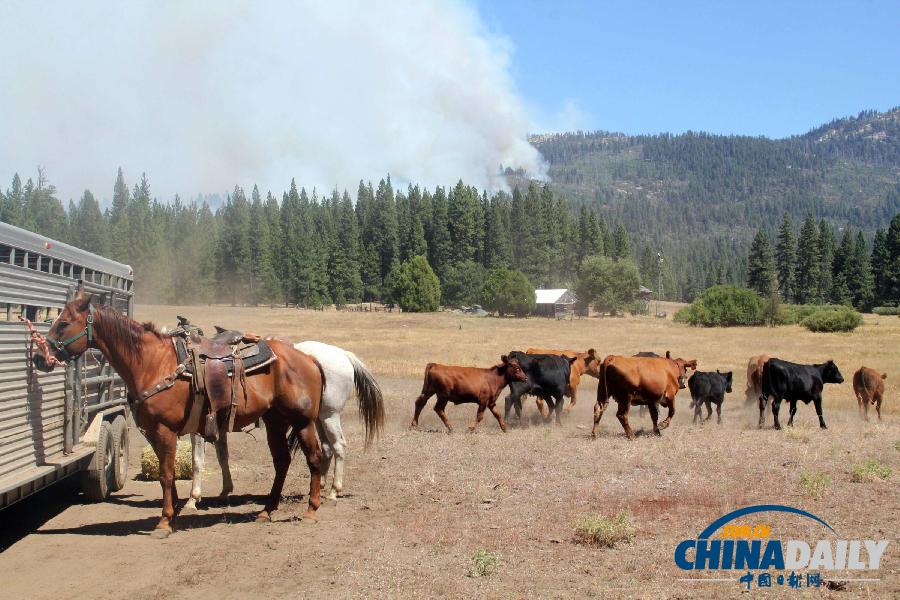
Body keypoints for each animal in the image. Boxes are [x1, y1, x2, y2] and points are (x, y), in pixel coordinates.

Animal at [33, 288, 326, 536]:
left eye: (63, 323)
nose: (39, 357)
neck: (151, 362)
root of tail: (308, 358)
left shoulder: (165, 431)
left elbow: (166, 474)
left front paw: (164, 522)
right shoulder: (154, 433)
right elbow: (169, 474)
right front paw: (172, 513)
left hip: (303, 422)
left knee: (314, 458)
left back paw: (311, 510)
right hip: (276, 421)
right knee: (282, 462)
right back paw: (266, 511)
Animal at [185, 340, 384, 508]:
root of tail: (343, 354)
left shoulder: (198, 429)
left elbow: (197, 461)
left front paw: (193, 499)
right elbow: (222, 456)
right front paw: (225, 492)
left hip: (330, 415)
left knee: (339, 446)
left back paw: (334, 490)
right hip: (318, 418)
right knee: (327, 447)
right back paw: (319, 484)